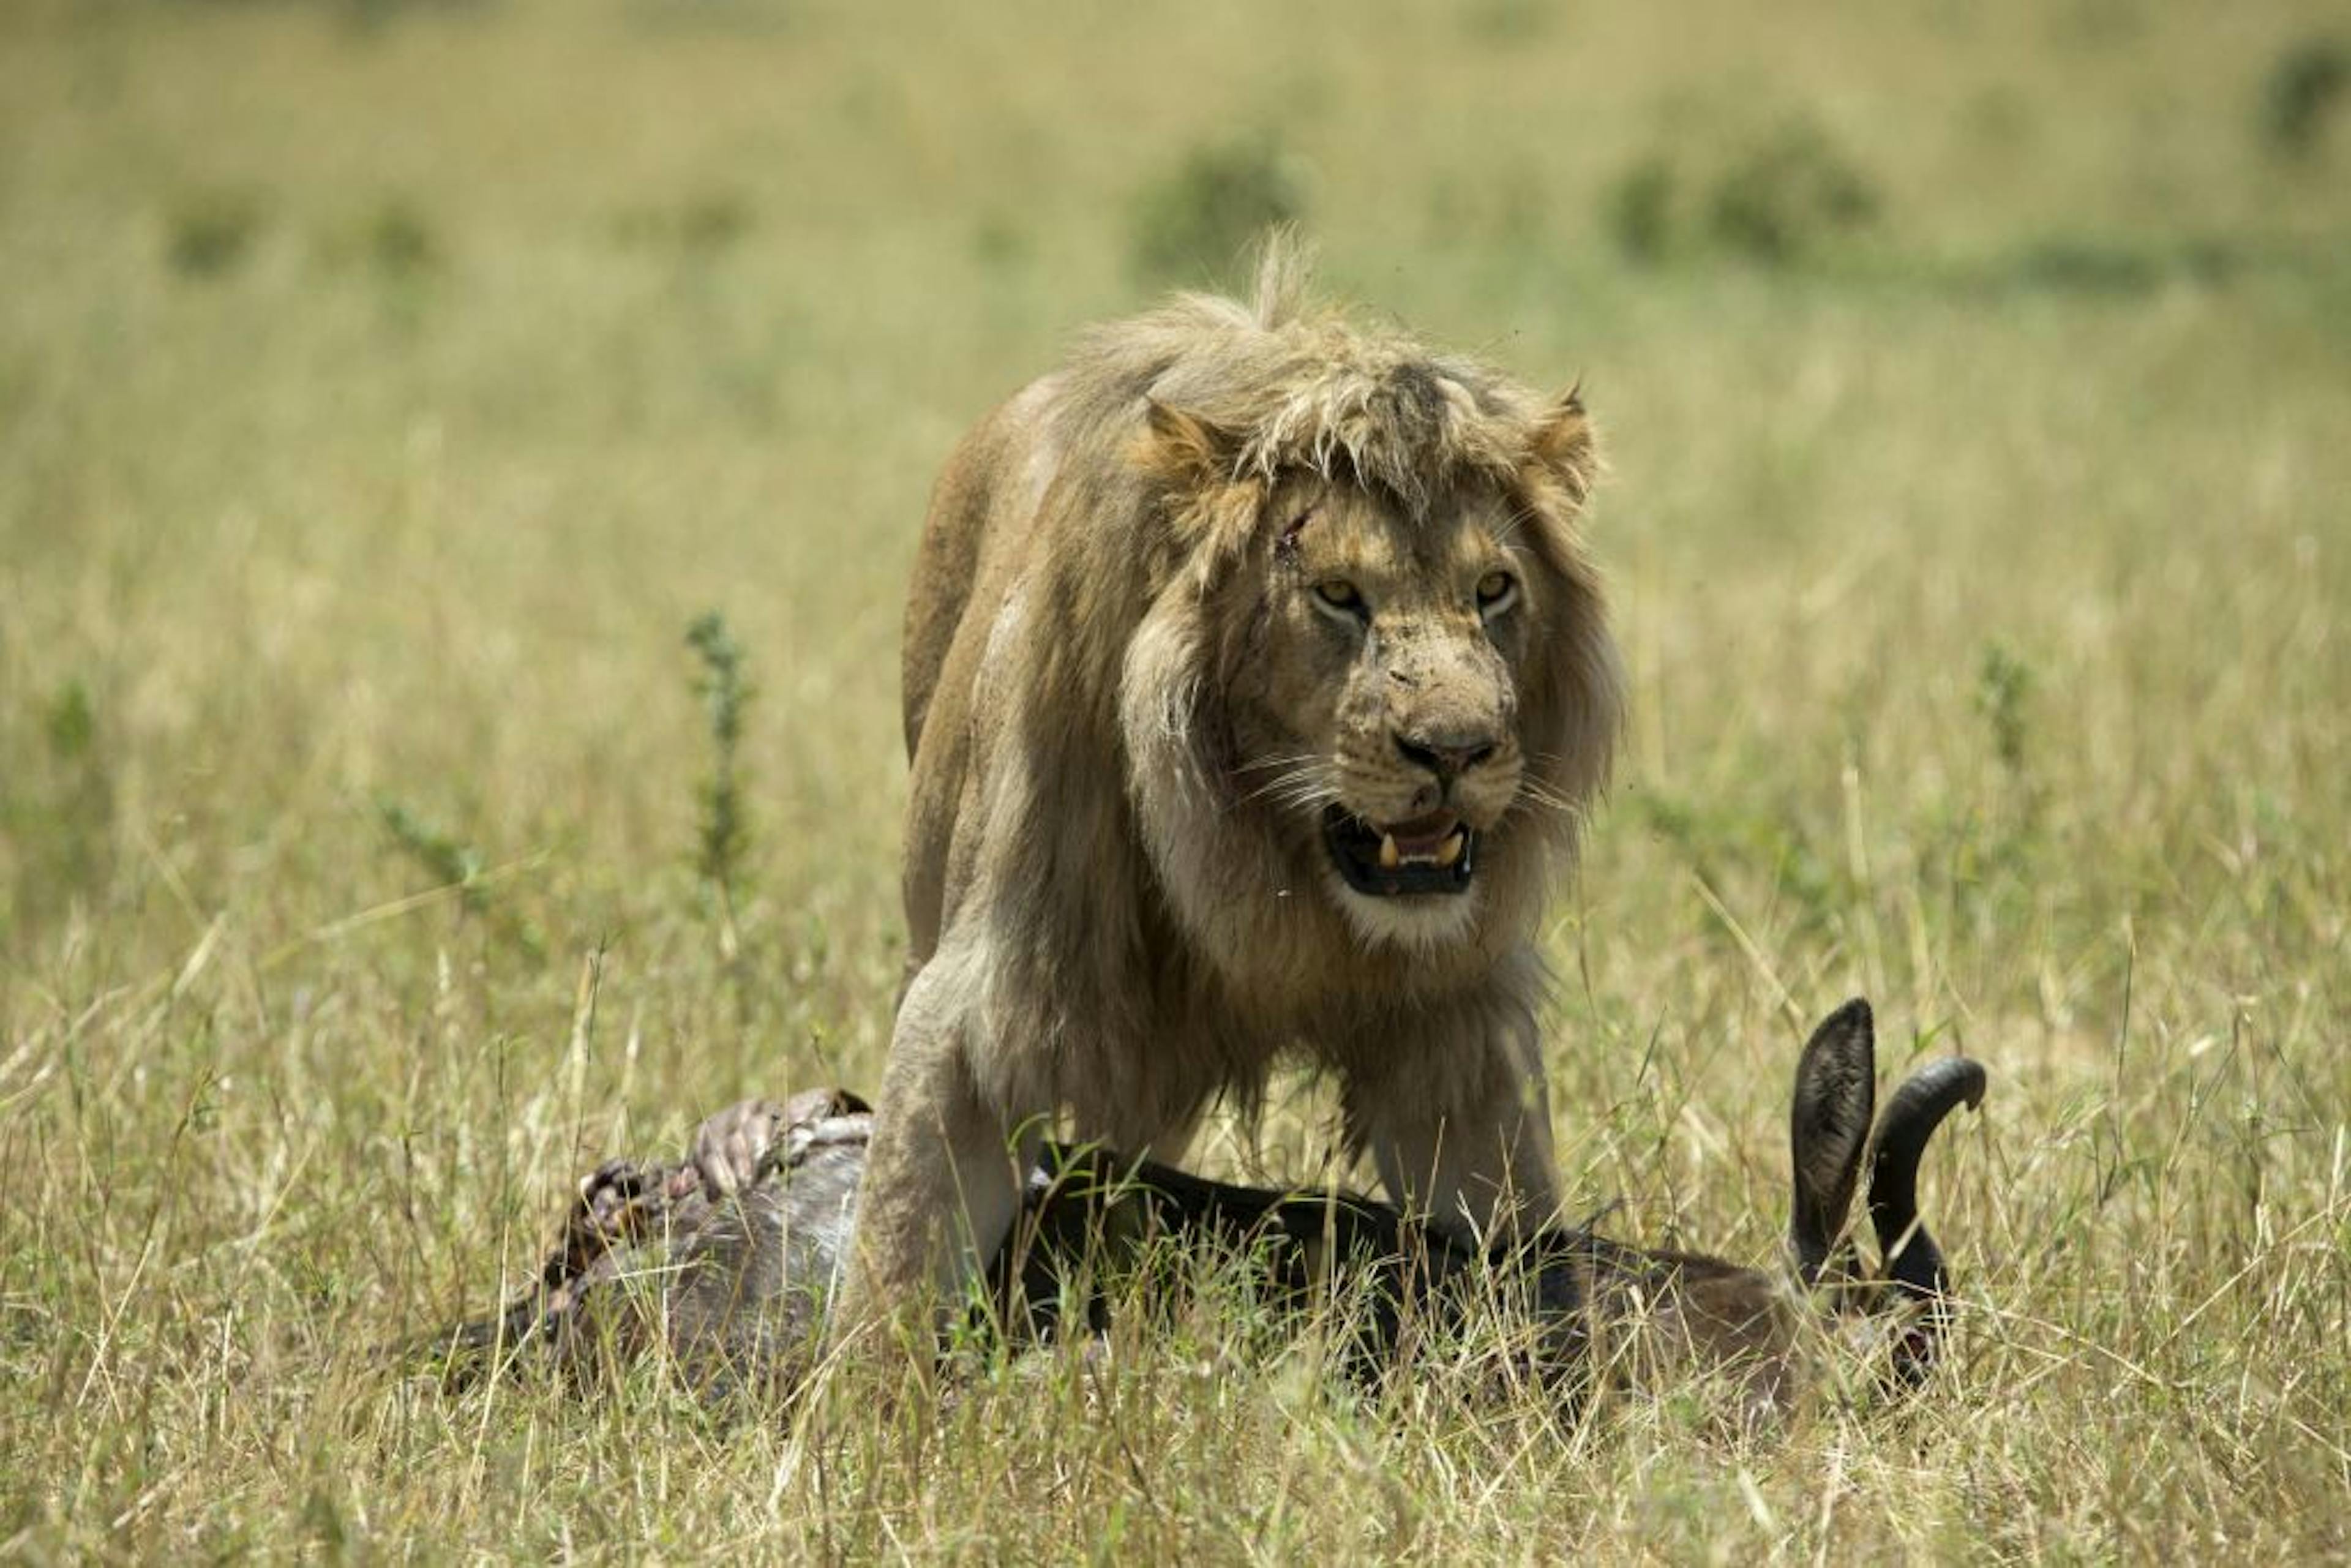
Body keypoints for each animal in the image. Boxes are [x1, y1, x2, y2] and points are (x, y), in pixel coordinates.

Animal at [839, 241, 1624, 1341]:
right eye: (1337, 595)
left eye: (1493, 590)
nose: (1458, 749)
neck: (1250, 847)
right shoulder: (976, 1004)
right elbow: (897, 1262)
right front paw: (854, 1389)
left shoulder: (1458, 1032)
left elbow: (1510, 1231)